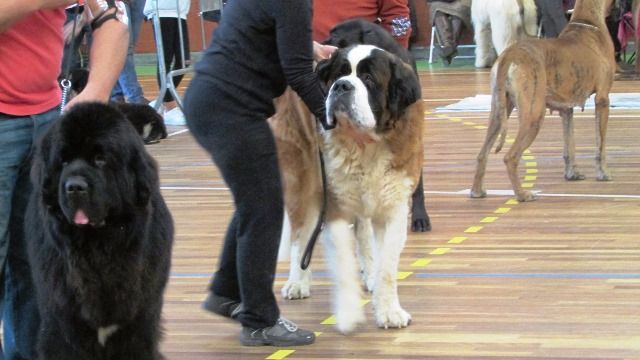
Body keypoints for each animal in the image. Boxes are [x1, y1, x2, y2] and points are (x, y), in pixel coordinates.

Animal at [26, 102, 174, 360]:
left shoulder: (140, 323)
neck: (97, 247)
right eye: (63, 161)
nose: (74, 187)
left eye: (100, 159)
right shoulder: (61, 324)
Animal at [272, 45, 424, 334]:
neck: (365, 145)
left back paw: (369, 273)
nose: (342, 86)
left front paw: (389, 311)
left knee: (363, 234)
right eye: (337, 75)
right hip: (303, 180)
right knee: (300, 234)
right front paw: (348, 313)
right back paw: (297, 281)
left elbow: (387, 267)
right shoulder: (334, 206)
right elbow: (343, 262)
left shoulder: (393, 206)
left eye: (368, 78)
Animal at [470, 0, 616, 202]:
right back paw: (522, 194)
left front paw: (572, 174)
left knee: (482, 154)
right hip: (534, 116)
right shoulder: (602, 100)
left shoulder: (566, 110)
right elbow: (600, 144)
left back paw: (477, 191)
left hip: (499, 113)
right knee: (511, 157)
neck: (587, 22)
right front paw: (603, 173)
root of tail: (511, 53)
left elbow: (569, 146)